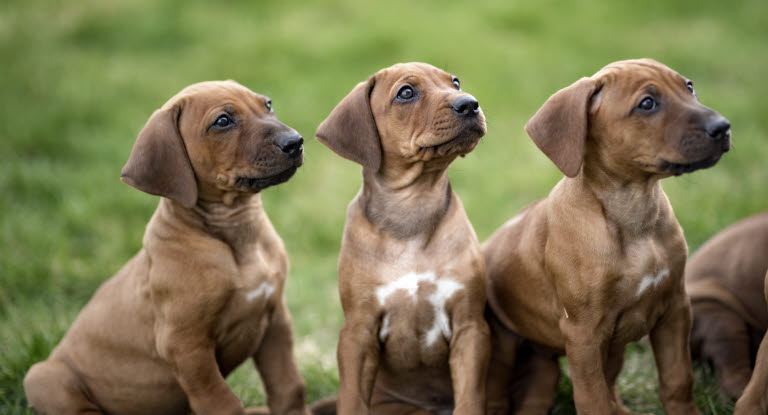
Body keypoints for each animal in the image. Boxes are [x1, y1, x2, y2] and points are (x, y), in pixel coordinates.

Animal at [24, 80, 312, 415]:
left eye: (267, 104)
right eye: (223, 121)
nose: (295, 142)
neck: (237, 234)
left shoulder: (275, 319)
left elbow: (288, 387)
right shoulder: (184, 344)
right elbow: (221, 402)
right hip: (44, 376)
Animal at [316, 62, 488, 415]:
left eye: (455, 82)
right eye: (406, 92)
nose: (470, 104)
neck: (412, 208)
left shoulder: (470, 327)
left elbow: (469, 398)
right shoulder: (358, 332)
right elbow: (352, 399)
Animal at [486, 58, 732, 415]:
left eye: (689, 87)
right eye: (647, 104)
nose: (723, 127)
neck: (633, 214)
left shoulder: (675, 308)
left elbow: (677, 380)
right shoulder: (582, 333)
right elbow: (593, 398)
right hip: (504, 346)